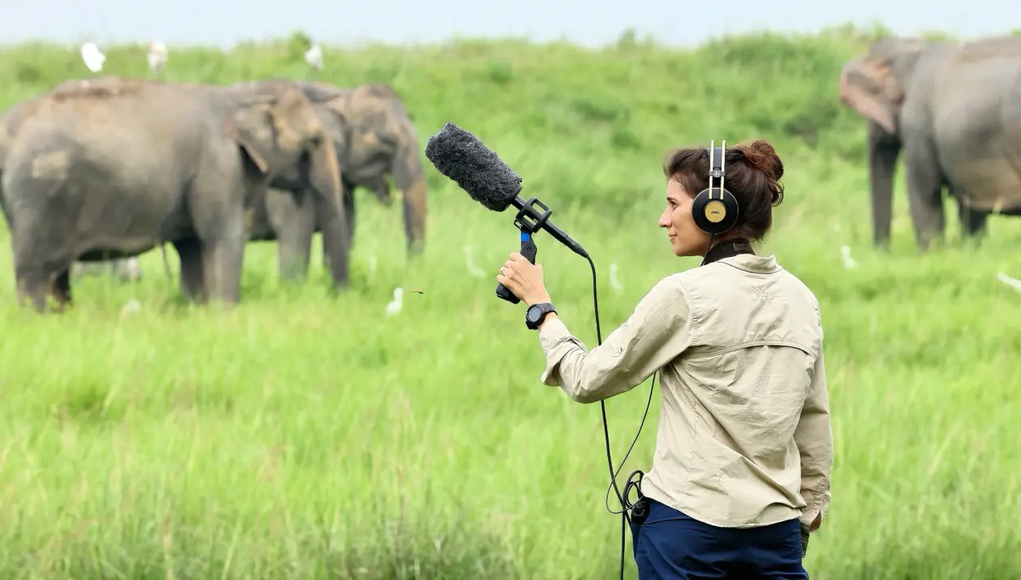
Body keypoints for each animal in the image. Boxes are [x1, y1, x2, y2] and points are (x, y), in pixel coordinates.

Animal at [0, 76, 350, 312]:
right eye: (315, 140)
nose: (338, 294)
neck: (237, 95)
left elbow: (192, 246)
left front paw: (196, 311)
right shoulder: (218, 164)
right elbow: (224, 238)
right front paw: (225, 315)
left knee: (54, 273)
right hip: (39, 196)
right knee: (35, 270)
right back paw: (40, 318)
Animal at [839, 35, 1021, 251]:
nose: (882, 253)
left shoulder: (918, 125)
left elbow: (924, 191)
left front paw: (932, 253)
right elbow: (968, 207)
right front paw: (972, 252)